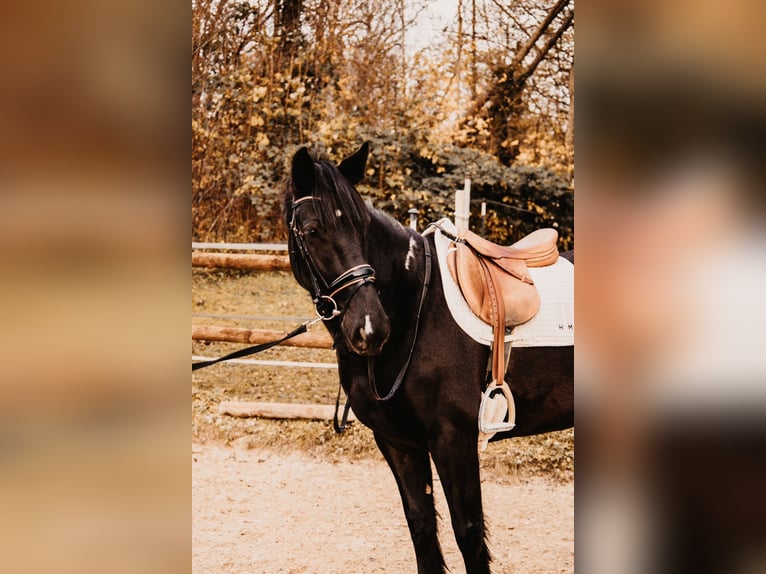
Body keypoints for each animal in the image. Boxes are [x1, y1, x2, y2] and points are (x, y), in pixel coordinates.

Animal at [284, 144, 572, 574]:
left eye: (361, 227)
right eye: (313, 231)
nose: (370, 328)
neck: (414, 310)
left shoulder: (453, 438)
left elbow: (468, 533)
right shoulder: (398, 442)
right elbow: (421, 526)